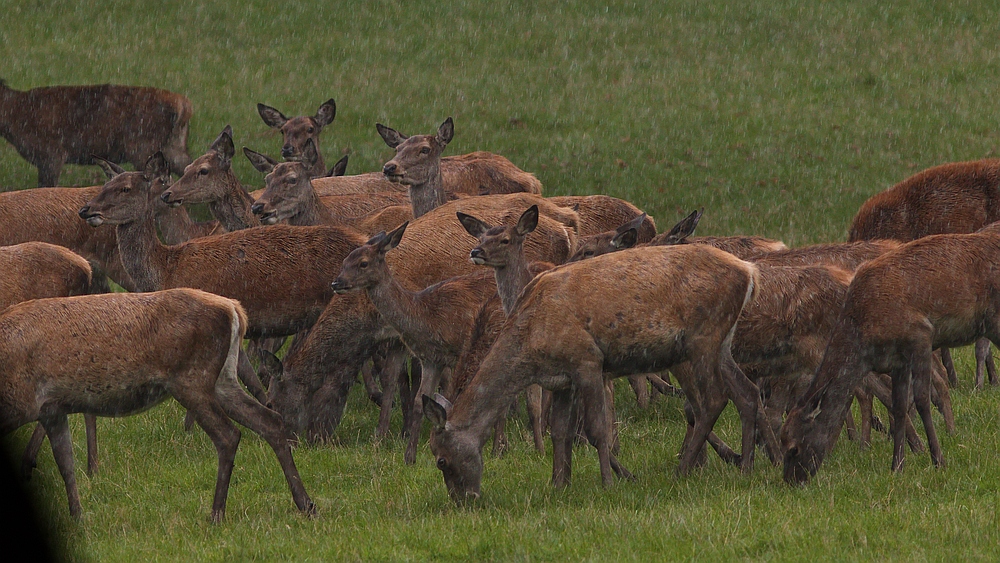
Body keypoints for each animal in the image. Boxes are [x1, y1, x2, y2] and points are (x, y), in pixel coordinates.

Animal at [0, 288, 312, 524]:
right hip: (223, 379)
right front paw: (77, 518)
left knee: (228, 435)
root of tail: (235, 310)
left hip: (190, 380)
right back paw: (306, 504)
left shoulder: (32, 406)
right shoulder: (52, 410)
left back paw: (216, 514)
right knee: (270, 420)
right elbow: (66, 465)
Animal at [424, 245, 764, 504]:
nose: (464, 500)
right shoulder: (560, 380)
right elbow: (559, 430)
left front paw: (607, 483)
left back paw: (682, 472)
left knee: (713, 399)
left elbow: (597, 428)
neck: (531, 342)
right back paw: (746, 467)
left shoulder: (586, 360)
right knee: (746, 392)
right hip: (722, 342)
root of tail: (748, 272)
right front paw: (559, 484)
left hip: (703, 337)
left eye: (441, 460)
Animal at [780, 229, 1000, 484]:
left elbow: (922, 399)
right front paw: (897, 466)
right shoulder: (897, 360)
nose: (791, 481)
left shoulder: (920, 335)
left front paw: (938, 460)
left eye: (794, 448)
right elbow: (899, 406)